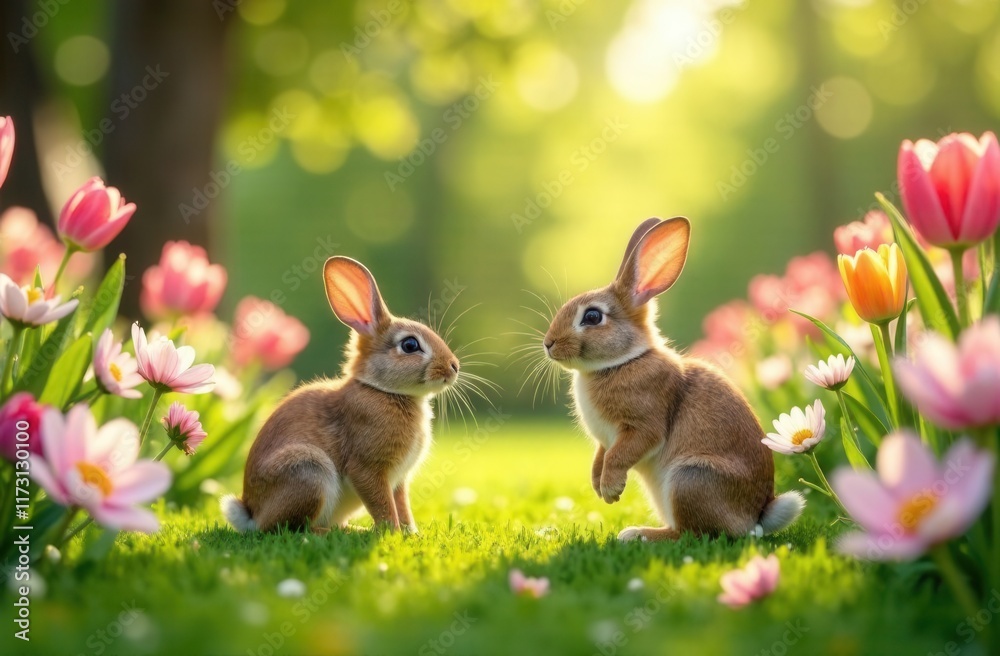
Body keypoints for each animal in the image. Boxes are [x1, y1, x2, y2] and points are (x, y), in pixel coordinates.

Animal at [221, 256, 460, 534]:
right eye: (410, 345)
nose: (454, 367)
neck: (382, 390)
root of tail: (250, 513)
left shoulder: (398, 479)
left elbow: (402, 505)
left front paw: (410, 533)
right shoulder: (367, 469)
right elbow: (383, 504)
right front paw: (391, 533)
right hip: (309, 470)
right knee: (292, 528)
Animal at [542, 217, 804, 542]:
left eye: (592, 317)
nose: (548, 344)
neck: (623, 362)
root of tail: (757, 516)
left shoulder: (643, 427)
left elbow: (619, 456)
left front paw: (611, 489)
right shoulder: (606, 441)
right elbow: (602, 456)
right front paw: (598, 487)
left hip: (688, 479)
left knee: (692, 533)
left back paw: (638, 535)